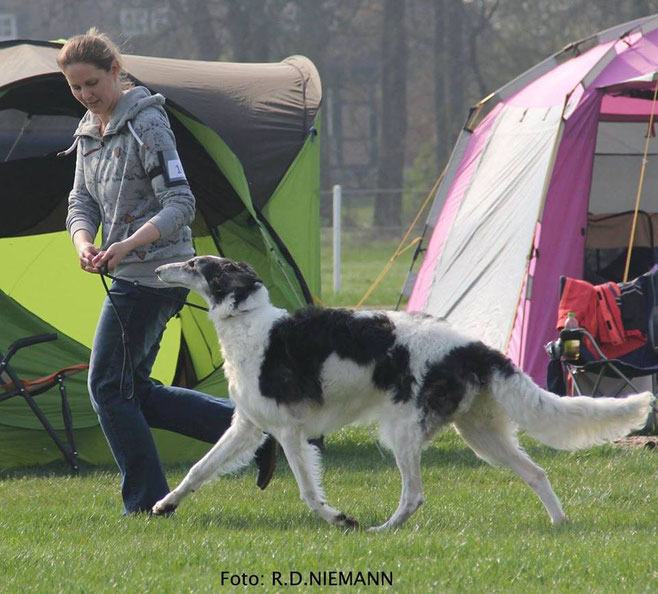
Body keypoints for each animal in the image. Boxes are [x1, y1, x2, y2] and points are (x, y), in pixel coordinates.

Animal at [152, 254, 652, 528]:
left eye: (195, 264)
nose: (157, 267)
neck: (248, 322)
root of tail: (475, 347)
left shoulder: (289, 431)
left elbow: (310, 494)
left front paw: (341, 519)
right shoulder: (248, 426)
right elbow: (197, 471)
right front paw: (163, 505)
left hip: (402, 431)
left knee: (414, 496)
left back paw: (379, 530)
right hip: (482, 434)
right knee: (537, 473)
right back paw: (560, 524)